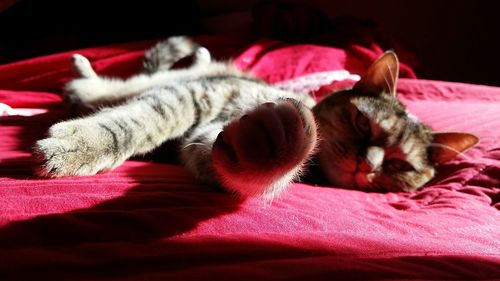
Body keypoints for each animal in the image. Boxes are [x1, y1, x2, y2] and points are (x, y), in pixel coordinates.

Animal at [33, 36, 478, 198]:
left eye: (400, 165)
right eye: (363, 124)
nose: (365, 166)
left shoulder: (207, 139)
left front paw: (271, 146)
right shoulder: (199, 94)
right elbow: (140, 120)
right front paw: (81, 147)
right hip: (173, 81)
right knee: (113, 86)